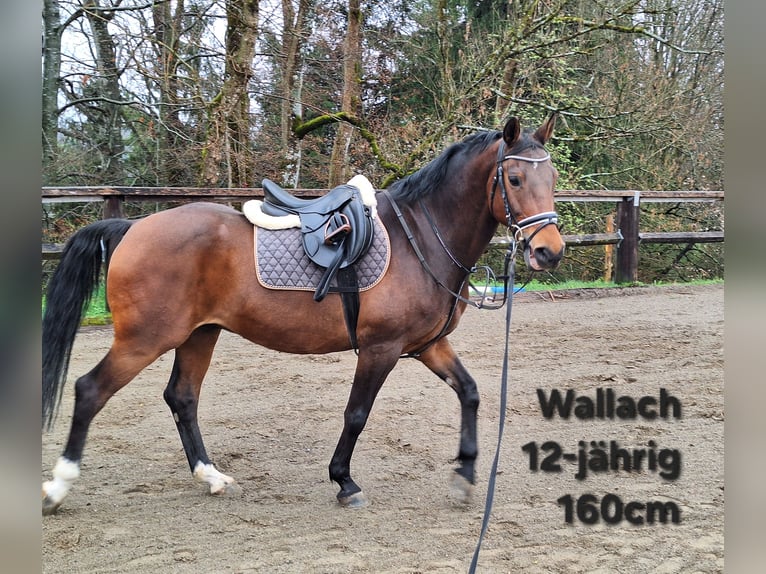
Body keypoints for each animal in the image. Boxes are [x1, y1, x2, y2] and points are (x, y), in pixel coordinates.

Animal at [42, 115, 565, 516]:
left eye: (554, 180)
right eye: (514, 180)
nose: (550, 251)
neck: (420, 237)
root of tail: (133, 227)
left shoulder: (427, 345)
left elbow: (471, 392)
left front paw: (466, 474)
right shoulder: (381, 348)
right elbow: (357, 414)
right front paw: (344, 482)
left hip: (199, 334)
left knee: (182, 398)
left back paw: (210, 476)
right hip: (145, 338)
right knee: (90, 391)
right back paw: (58, 487)